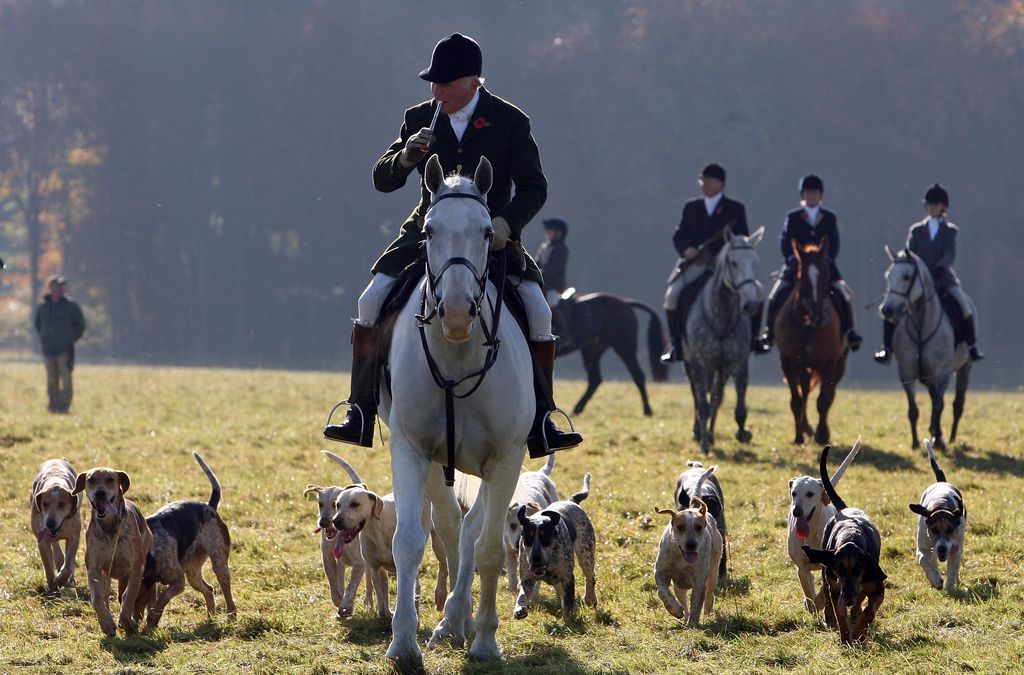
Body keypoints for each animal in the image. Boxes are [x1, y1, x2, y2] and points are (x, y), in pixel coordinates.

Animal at [378, 154, 536, 663]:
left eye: (488, 231)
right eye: (429, 230)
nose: (456, 314)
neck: (458, 352)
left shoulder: (505, 459)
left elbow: (488, 549)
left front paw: (485, 640)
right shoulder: (412, 448)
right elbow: (410, 542)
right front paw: (403, 642)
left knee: (472, 531)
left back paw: (462, 621)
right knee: (452, 528)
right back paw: (451, 622)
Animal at [684, 227, 765, 454]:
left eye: (755, 263)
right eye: (734, 263)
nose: (750, 304)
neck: (721, 316)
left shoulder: (736, 363)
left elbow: (735, 404)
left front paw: (743, 433)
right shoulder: (699, 363)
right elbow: (702, 404)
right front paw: (704, 444)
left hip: (719, 369)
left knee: (715, 397)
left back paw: (710, 434)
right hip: (692, 364)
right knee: (697, 395)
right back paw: (699, 432)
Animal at [774, 240, 847, 446]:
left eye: (827, 274)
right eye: (802, 276)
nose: (818, 316)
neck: (807, 327)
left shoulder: (830, 362)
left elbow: (823, 400)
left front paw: (822, 435)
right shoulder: (788, 361)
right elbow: (796, 401)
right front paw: (798, 437)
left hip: (840, 363)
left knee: (829, 394)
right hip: (803, 367)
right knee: (805, 392)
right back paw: (805, 428)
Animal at [876, 246, 970, 448]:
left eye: (906, 276)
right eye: (888, 275)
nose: (887, 310)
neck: (921, 325)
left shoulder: (942, 374)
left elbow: (938, 407)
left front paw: (935, 437)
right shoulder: (906, 373)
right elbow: (913, 410)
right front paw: (915, 442)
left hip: (965, 367)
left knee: (957, 403)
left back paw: (950, 437)